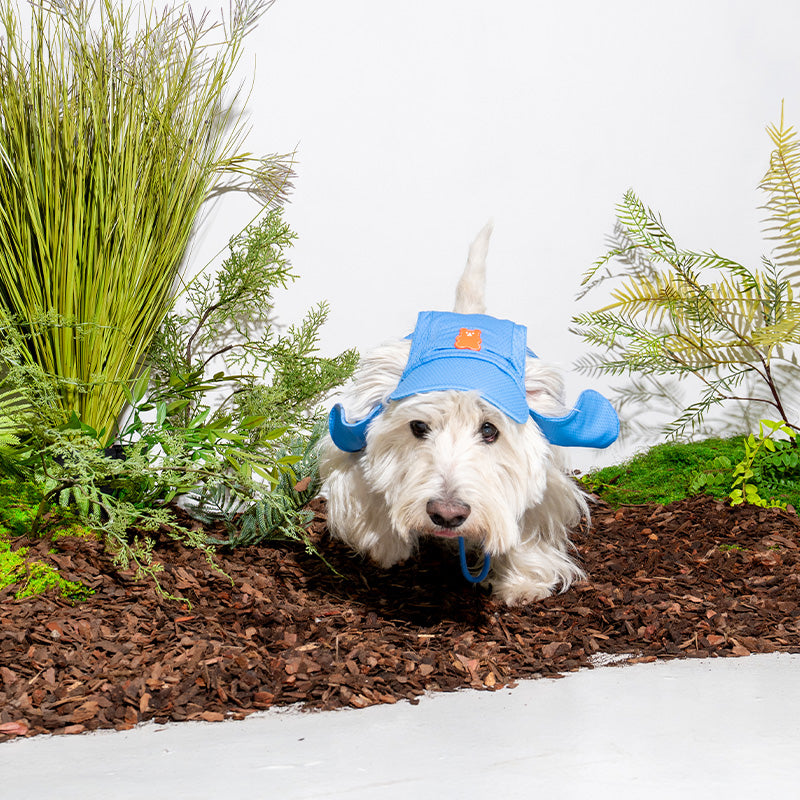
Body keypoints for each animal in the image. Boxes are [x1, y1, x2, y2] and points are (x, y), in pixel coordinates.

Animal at [318, 222, 620, 604]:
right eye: (418, 427)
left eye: (489, 430)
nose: (447, 515)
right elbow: (365, 493)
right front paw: (386, 547)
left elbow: (529, 522)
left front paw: (523, 583)